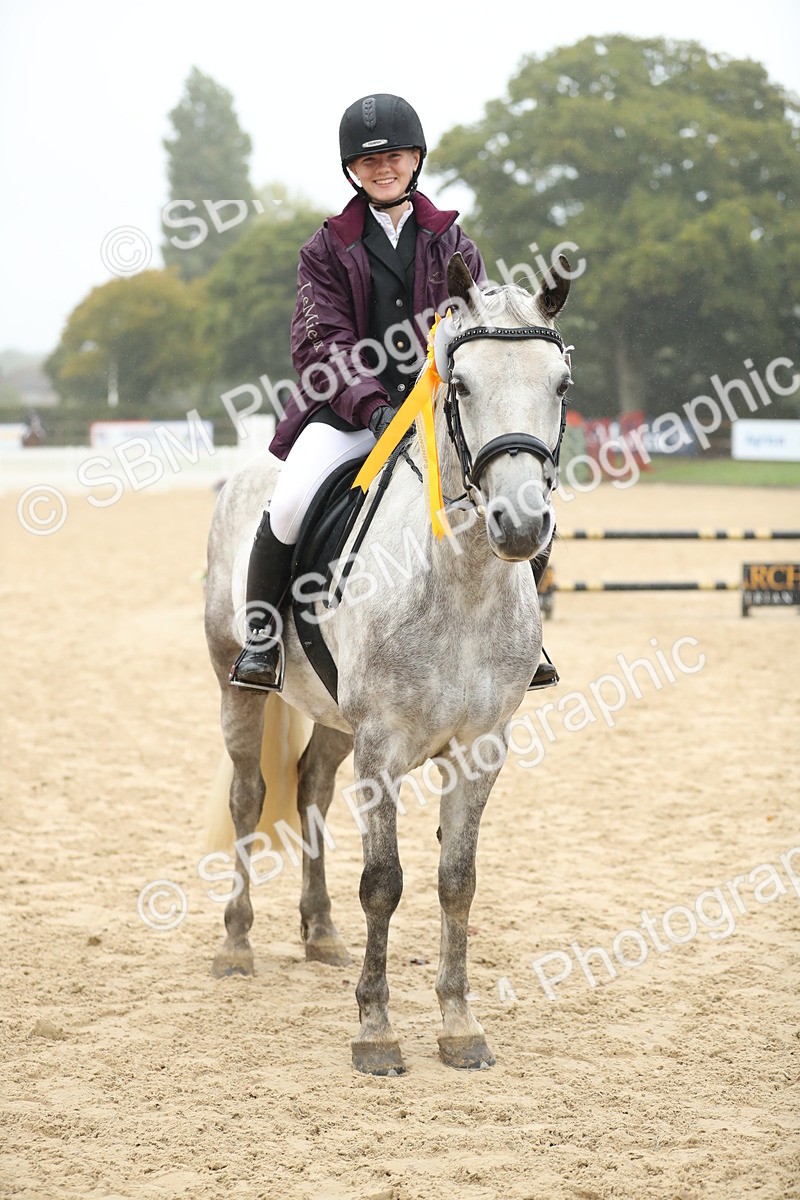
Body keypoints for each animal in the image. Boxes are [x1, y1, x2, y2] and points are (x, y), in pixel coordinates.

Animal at [204, 252, 572, 1075]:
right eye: (460, 385)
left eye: (561, 385)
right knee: (249, 795)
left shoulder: (479, 749)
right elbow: (384, 883)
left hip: (334, 715)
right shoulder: (382, 747)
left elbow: (456, 882)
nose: (520, 525)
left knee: (309, 786)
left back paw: (320, 935)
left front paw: (459, 1025)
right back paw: (238, 944)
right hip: (237, 685)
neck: (463, 581)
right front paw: (375, 1030)